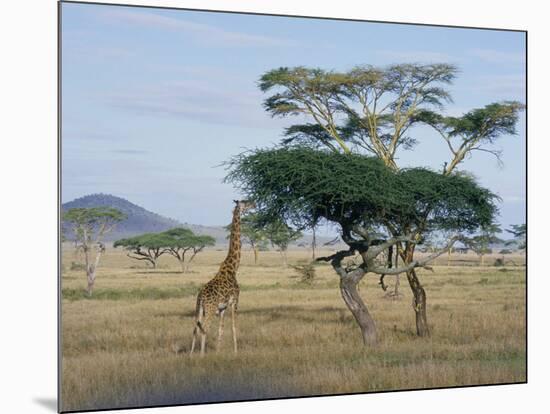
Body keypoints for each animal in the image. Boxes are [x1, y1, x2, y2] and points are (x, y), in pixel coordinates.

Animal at [191, 199, 256, 354]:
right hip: (209, 308)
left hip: (199, 309)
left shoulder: (222, 308)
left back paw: (191, 355)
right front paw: (236, 352)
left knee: (195, 329)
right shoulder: (235, 301)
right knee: (204, 329)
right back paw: (201, 355)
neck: (233, 268)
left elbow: (220, 330)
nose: (254, 203)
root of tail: (201, 296)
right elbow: (233, 327)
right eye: (245, 202)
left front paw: (218, 352)